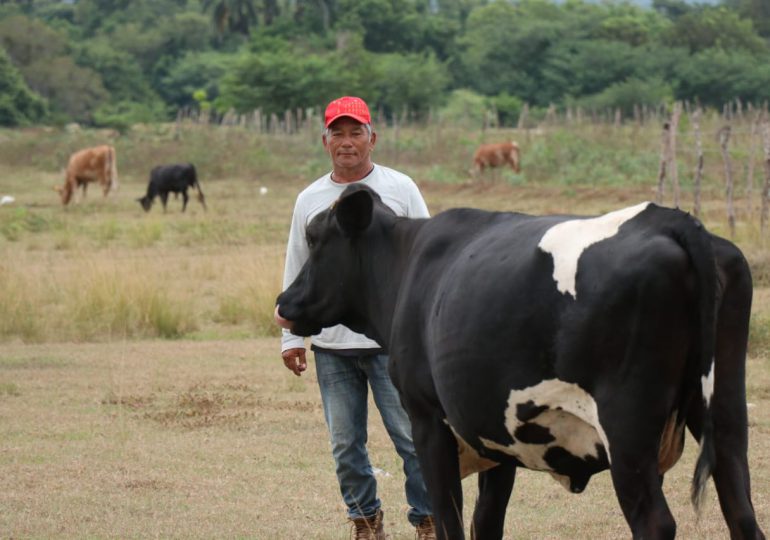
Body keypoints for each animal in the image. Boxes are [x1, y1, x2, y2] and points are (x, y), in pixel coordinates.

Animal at [272, 185, 760, 540]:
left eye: (315, 240)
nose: (283, 301)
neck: (407, 265)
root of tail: (669, 219)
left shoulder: (428, 420)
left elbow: (450, 520)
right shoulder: (495, 431)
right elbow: (486, 522)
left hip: (627, 430)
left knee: (656, 522)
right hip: (724, 412)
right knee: (741, 511)